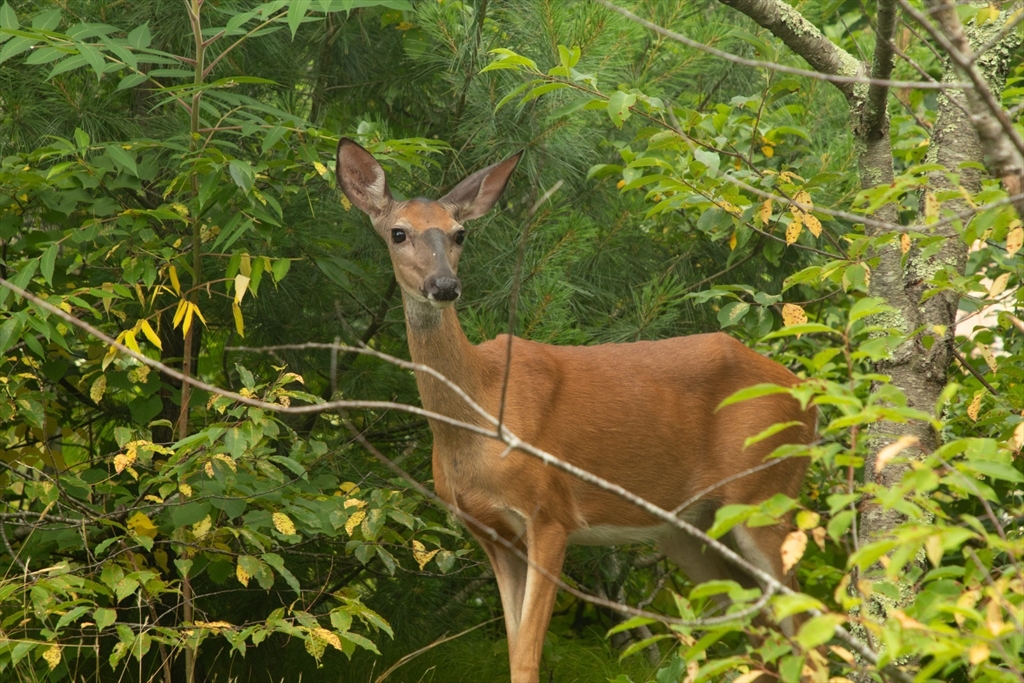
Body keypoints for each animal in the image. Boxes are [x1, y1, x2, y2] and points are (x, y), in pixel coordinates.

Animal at [335, 139, 815, 683]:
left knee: (807, 627)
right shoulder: (492, 533)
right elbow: (513, 649)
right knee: (763, 634)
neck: (480, 413)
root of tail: (806, 391)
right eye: (398, 233)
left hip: (766, 493)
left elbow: (527, 657)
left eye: (460, 233)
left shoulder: (551, 512)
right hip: (691, 528)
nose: (444, 285)